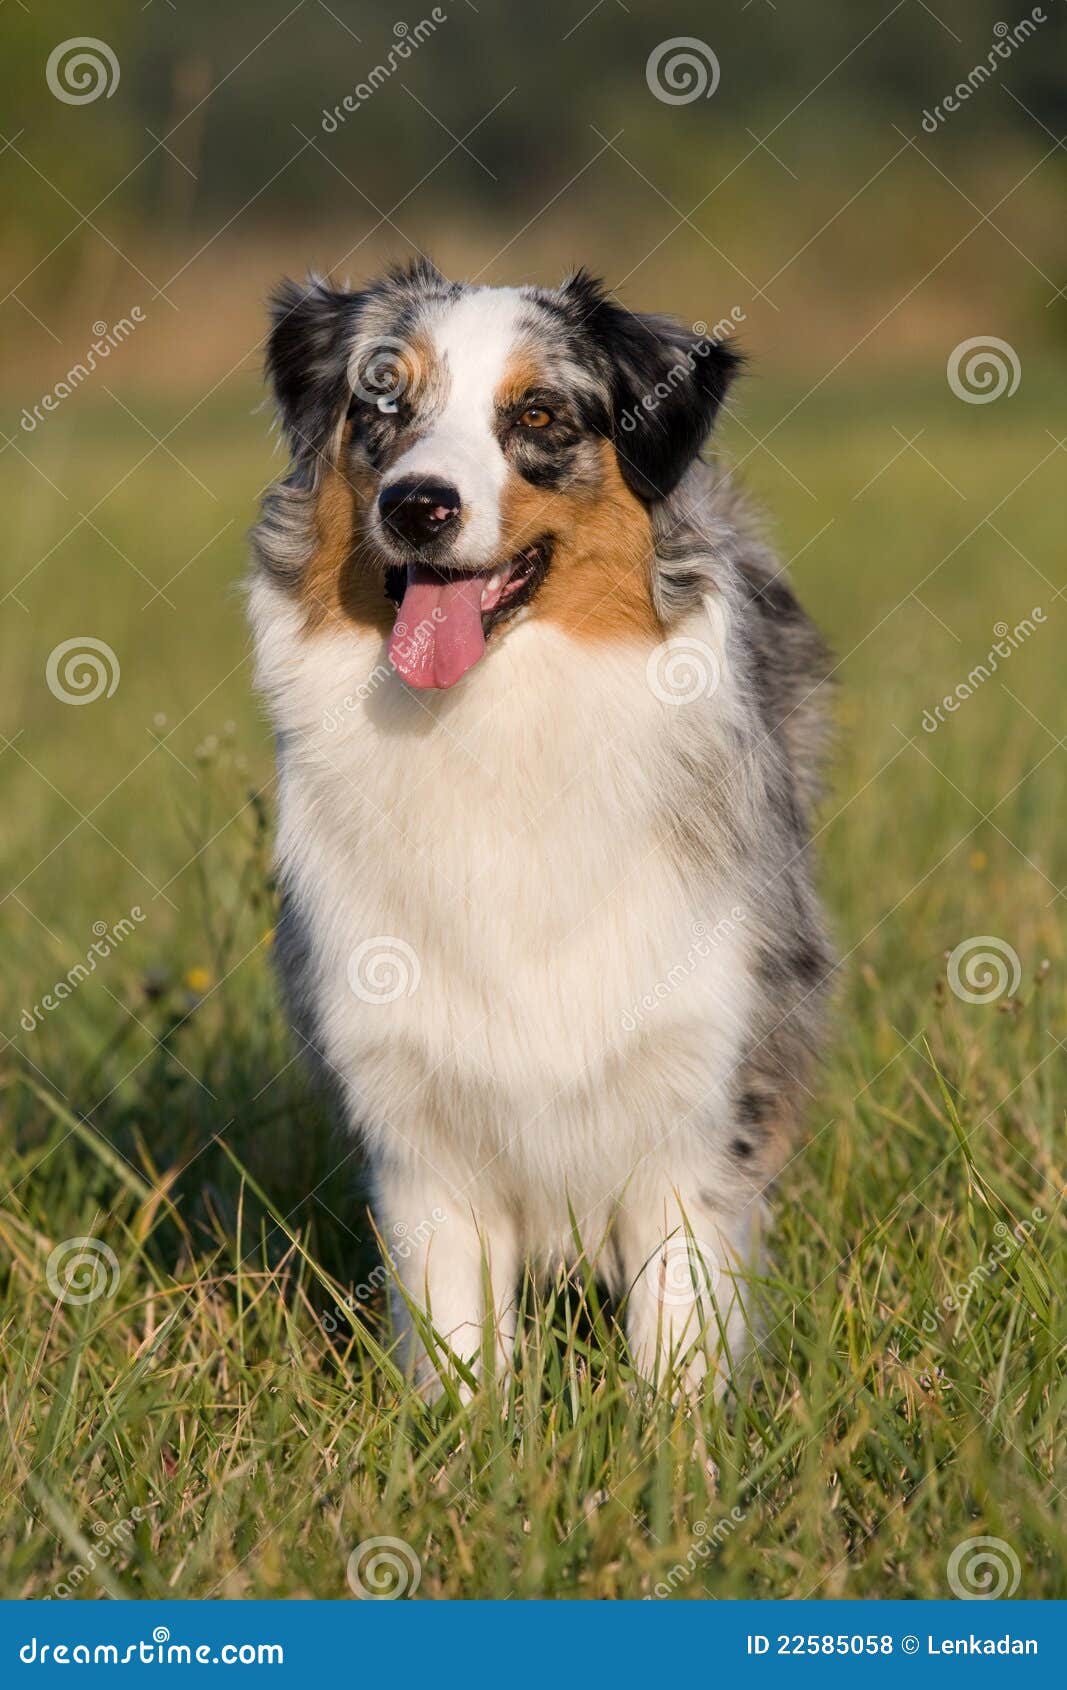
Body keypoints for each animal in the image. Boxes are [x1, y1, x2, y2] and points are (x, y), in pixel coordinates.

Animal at [250, 260, 835, 1399]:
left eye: (535, 415)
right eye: (383, 403)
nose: (417, 504)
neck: (493, 718)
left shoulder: (695, 1098)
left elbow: (678, 1340)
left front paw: (677, 1446)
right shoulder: (417, 1115)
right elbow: (456, 1347)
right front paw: (462, 1440)